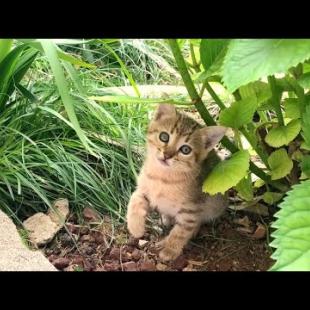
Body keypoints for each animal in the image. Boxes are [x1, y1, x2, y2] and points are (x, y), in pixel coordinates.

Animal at [126, 104, 228, 262]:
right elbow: (134, 200)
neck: (163, 177)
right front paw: (135, 227)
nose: (167, 155)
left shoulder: (190, 211)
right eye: (164, 136)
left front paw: (169, 250)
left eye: (185, 149)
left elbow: (180, 233)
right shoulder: (143, 189)